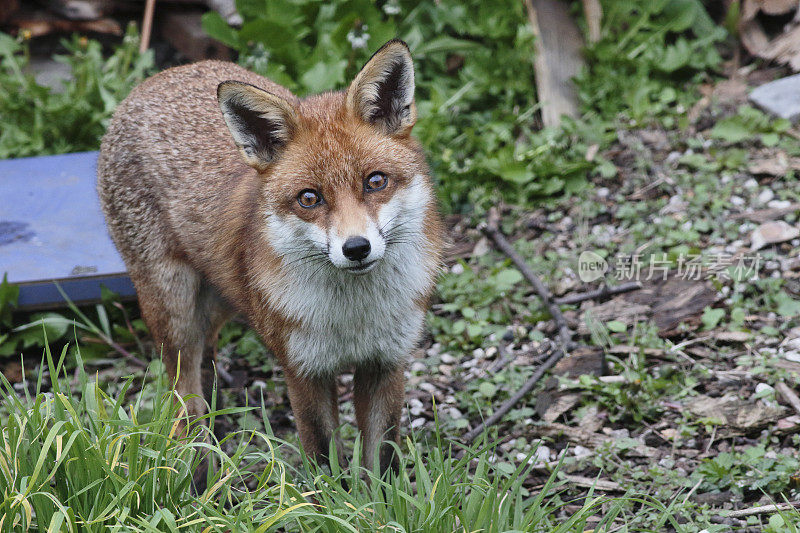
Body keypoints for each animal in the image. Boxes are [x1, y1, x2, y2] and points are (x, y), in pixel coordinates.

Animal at [96, 42, 444, 474]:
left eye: (375, 181)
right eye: (309, 198)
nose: (356, 248)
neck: (353, 318)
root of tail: (154, 79)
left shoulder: (386, 363)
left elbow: (381, 461)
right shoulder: (304, 370)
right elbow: (324, 460)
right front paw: (331, 494)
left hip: (223, 302)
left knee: (206, 363)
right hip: (174, 313)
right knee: (184, 399)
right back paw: (198, 468)